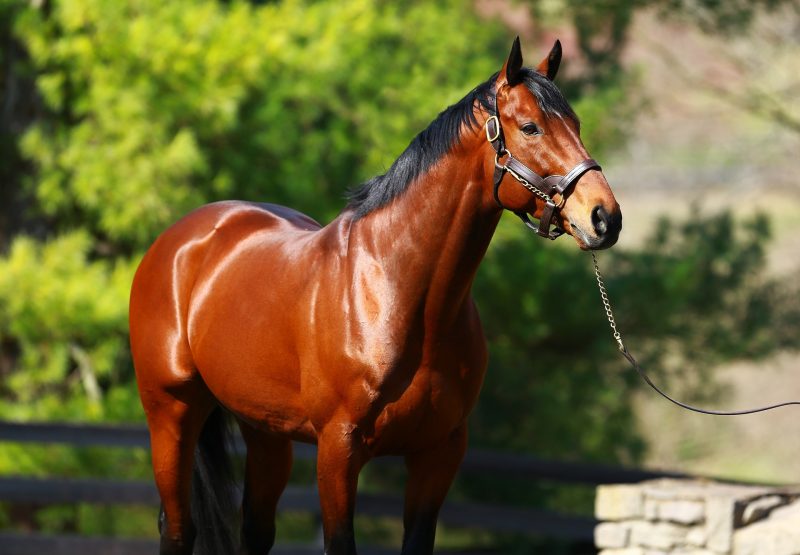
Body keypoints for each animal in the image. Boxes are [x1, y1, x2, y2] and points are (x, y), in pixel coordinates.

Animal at [128, 40, 620, 555]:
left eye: (576, 125)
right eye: (530, 127)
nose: (604, 217)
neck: (401, 295)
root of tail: (182, 239)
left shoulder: (437, 454)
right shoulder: (338, 450)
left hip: (264, 432)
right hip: (171, 415)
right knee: (179, 528)